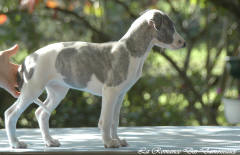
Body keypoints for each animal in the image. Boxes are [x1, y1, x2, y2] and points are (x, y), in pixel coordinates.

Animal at [4, 9, 187, 148]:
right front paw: (109, 143)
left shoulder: (120, 95)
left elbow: (114, 120)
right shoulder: (110, 92)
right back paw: (16, 143)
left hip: (57, 91)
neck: (129, 50)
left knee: (41, 113)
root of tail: (27, 60)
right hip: (32, 89)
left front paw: (117, 140)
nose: (184, 43)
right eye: (170, 27)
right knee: (10, 113)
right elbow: (105, 120)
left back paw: (49, 141)